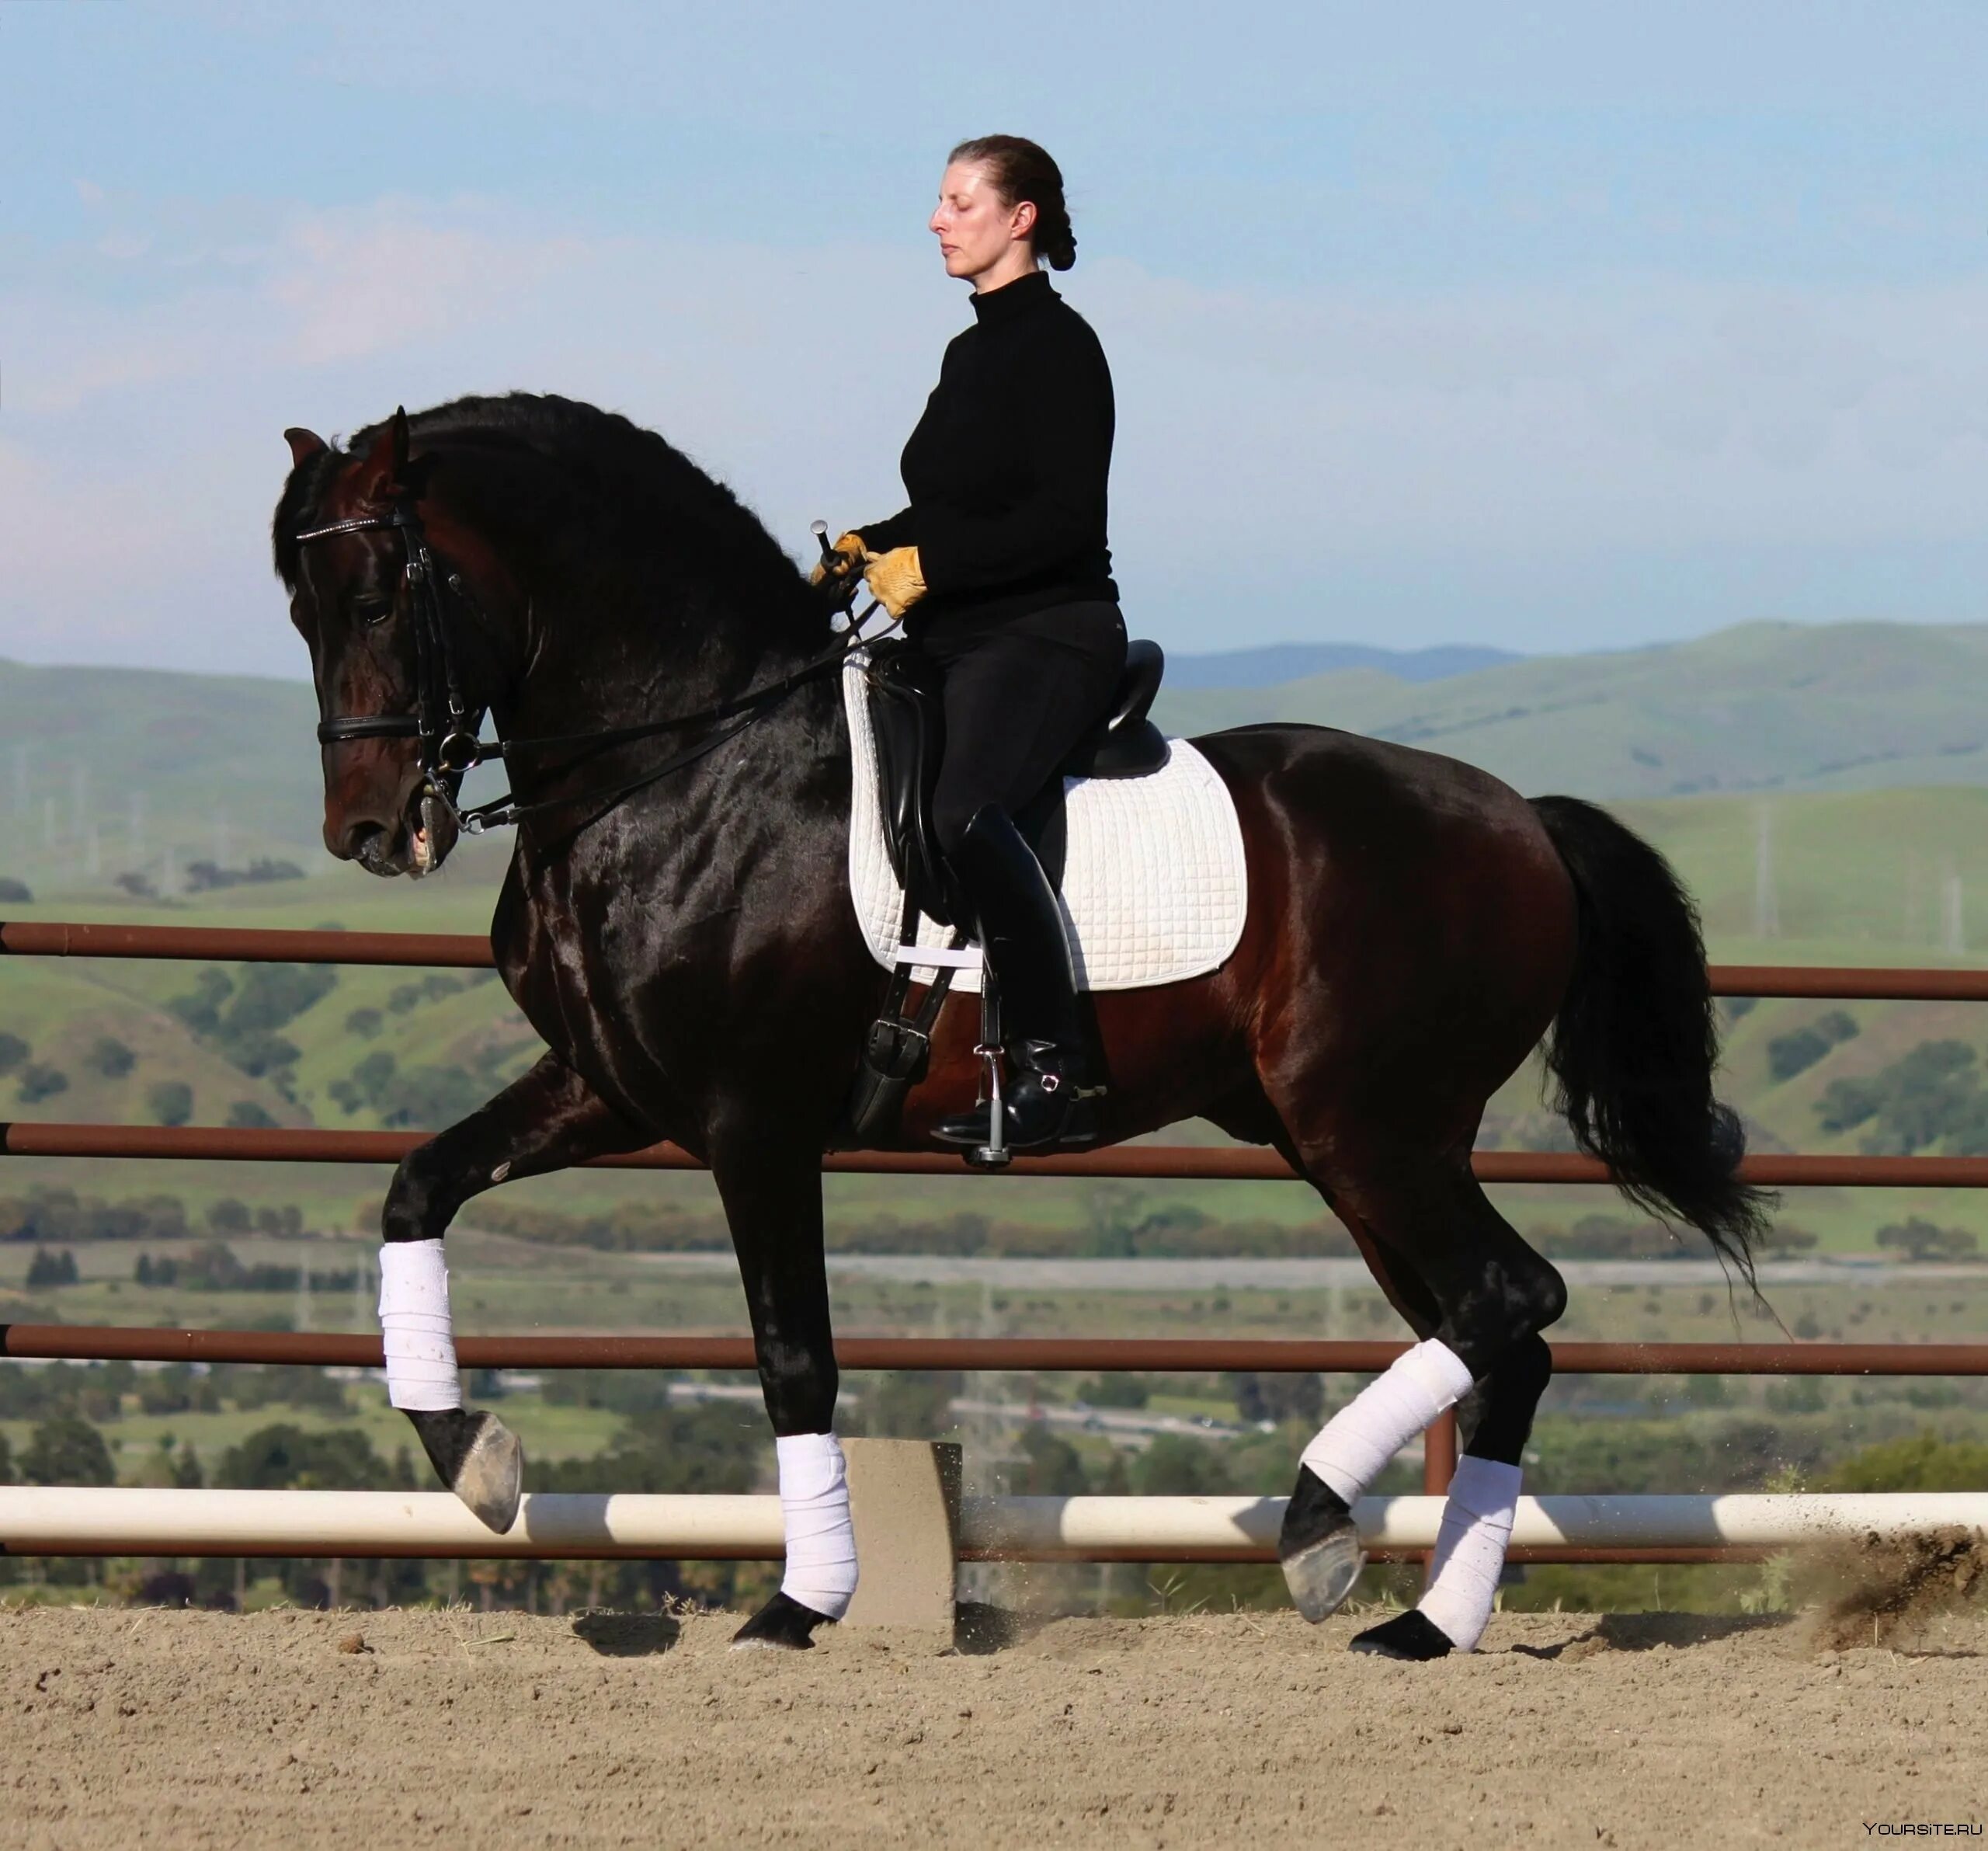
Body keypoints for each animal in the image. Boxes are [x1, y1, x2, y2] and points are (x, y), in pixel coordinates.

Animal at [272, 393, 1765, 1661]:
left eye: (379, 593)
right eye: (297, 609)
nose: (369, 831)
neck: (683, 761)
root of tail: (1522, 820)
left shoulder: (755, 1125)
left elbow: (793, 1355)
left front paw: (802, 1600)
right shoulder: (610, 1090)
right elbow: (417, 1187)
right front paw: (473, 1458)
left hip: (1371, 1132)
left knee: (1513, 1299)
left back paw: (1323, 1532)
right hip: (1358, 1147)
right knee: (1500, 1330)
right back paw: (1419, 1615)